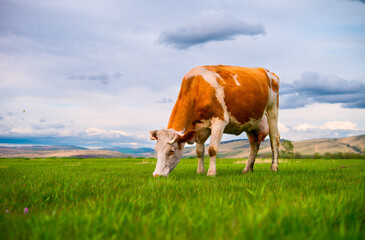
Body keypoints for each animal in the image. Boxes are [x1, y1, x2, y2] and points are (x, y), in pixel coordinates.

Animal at [149, 64, 280, 177]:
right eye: (156, 150)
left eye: (172, 151)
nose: (157, 175)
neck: (198, 87)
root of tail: (265, 71)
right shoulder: (199, 127)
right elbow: (199, 151)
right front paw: (200, 172)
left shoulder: (219, 121)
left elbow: (212, 149)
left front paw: (211, 173)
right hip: (251, 123)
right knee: (254, 144)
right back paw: (247, 169)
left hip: (272, 110)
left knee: (274, 139)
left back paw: (274, 167)